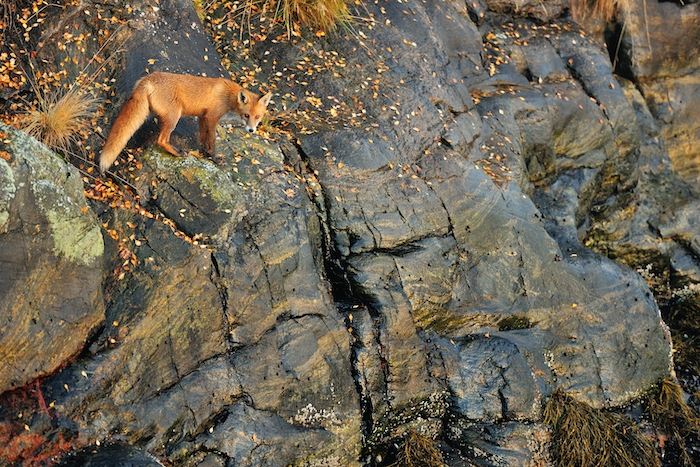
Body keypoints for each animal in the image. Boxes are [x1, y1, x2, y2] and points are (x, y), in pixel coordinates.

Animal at [99, 71, 272, 173]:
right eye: (246, 115)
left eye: (258, 117)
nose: (251, 130)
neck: (228, 94)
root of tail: (148, 79)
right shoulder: (211, 118)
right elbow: (211, 141)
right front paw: (215, 159)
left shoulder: (202, 117)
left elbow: (203, 139)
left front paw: (205, 154)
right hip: (174, 117)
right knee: (161, 140)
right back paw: (177, 153)